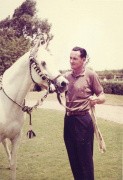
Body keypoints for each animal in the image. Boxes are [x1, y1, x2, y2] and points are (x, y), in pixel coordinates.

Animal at [0, 39, 68, 180]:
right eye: (43, 62)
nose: (64, 83)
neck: (6, 104)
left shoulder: (16, 138)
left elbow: (13, 165)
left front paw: (11, 164)